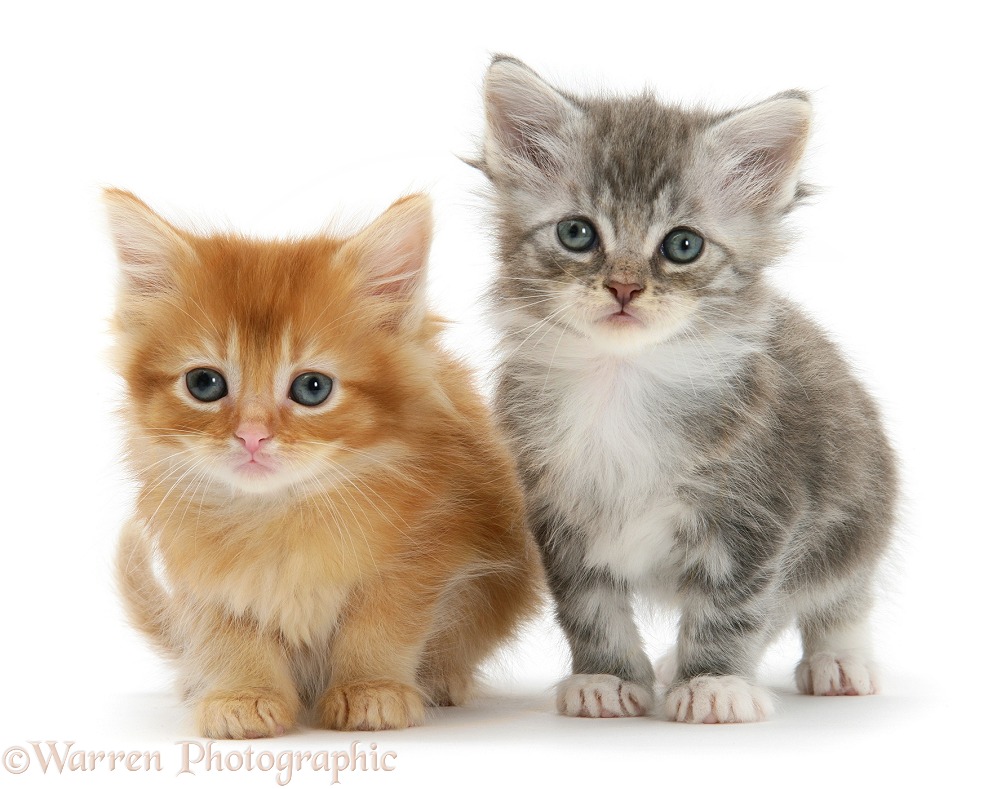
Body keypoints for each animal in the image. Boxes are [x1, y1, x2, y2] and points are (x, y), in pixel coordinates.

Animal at [109, 191, 540, 740]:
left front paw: (371, 689)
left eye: (312, 388)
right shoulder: (203, 578)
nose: (252, 435)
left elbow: (379, 626)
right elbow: (229, 635)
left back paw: (441, 680)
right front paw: (242, 694)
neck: (278, 514)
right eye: (204, 384)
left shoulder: (427, 550)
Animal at [474, 53, 896, 720]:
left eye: (683, 245)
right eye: (577, 234)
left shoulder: (756, 518)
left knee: (837, 596)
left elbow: (735, 611)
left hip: (858, 512)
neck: (620, 383)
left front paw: (713, 683)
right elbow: (590, 609)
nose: (624, 288)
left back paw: (839, 660)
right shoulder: (556, 516)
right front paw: (607, 678)